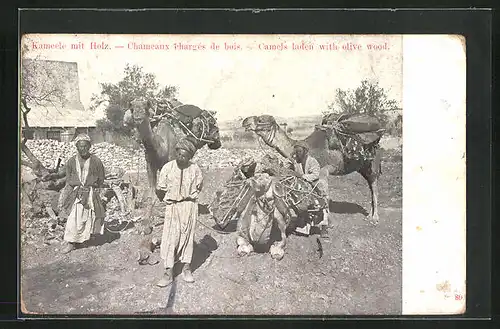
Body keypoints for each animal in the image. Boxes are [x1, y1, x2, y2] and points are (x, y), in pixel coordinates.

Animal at [242, 114, 382, 224]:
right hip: (363, 167)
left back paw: (375, 218)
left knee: (375, 187)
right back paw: (369, 214)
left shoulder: (323, 171)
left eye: (260, 119)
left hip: (372, 165)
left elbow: (324, 194)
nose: (245, 121)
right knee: (371, 186)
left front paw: (326, 221)